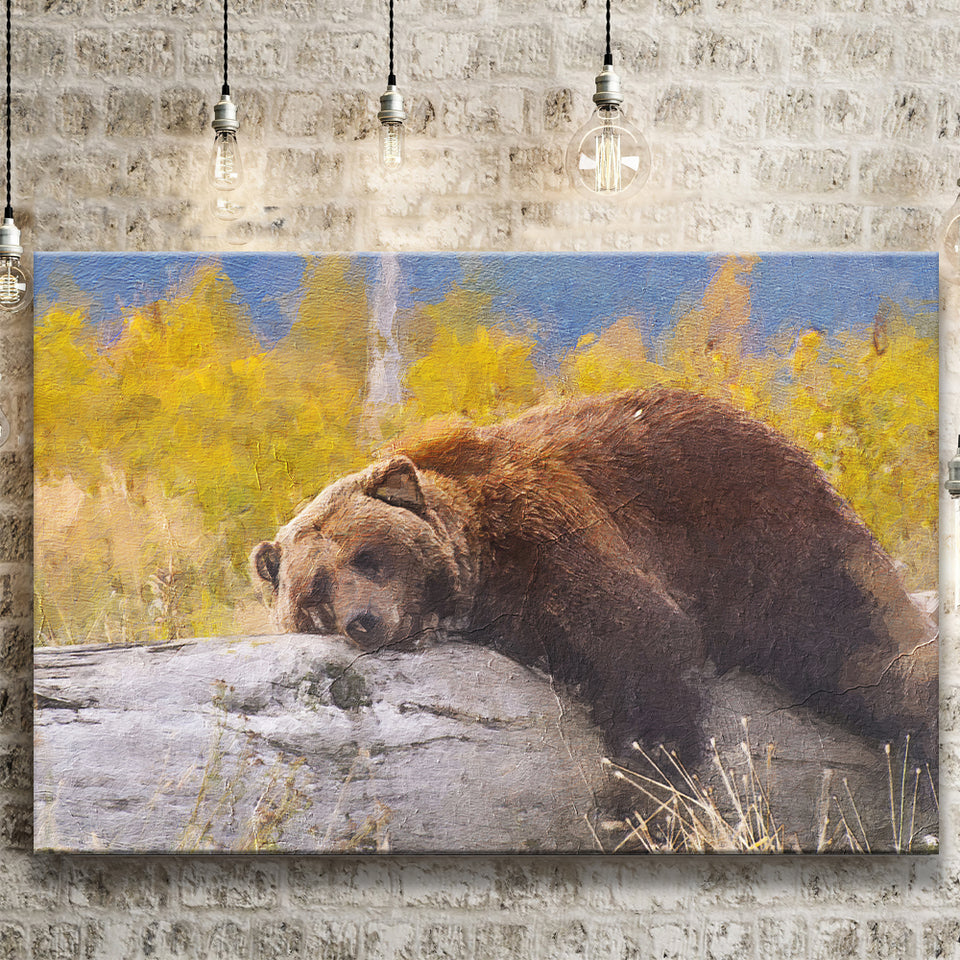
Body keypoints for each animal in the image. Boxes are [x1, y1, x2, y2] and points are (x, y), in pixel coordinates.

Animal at [250, 388, 938, 767]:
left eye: (369, 555)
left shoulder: (549, 528)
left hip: (779, 546)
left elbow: (640, 640)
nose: (364, 621)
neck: (482, 564)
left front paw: (648, 790)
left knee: (869, 659)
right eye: (315, 588)